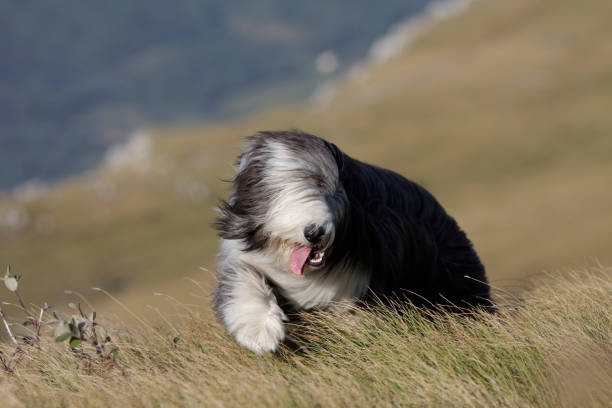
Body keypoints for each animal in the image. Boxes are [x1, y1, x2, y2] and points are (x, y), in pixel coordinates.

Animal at [214, 131, 492, 354]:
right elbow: (244, 283)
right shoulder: (241, 258)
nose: (315, 232)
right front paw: (260, 333)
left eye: (327, 189)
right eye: (278, 192)